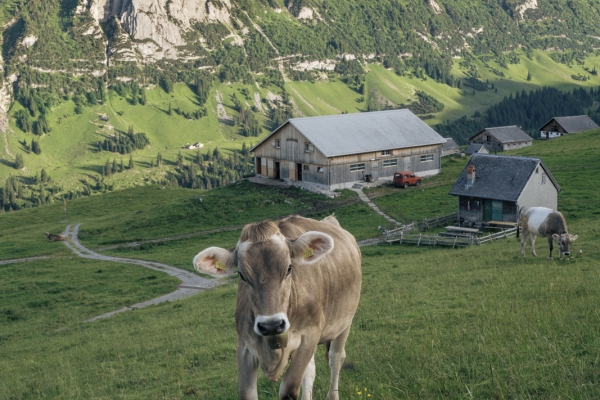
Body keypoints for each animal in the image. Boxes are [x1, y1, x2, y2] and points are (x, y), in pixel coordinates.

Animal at [193, 216, 360, 400]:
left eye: (289, 268)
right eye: (242, 275)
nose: (271, 325)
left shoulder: (310, 334)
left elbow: (289, 390)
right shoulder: (244, 345)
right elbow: (247, 394)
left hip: (345, 321)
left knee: (336, 358)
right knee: (310, 370)